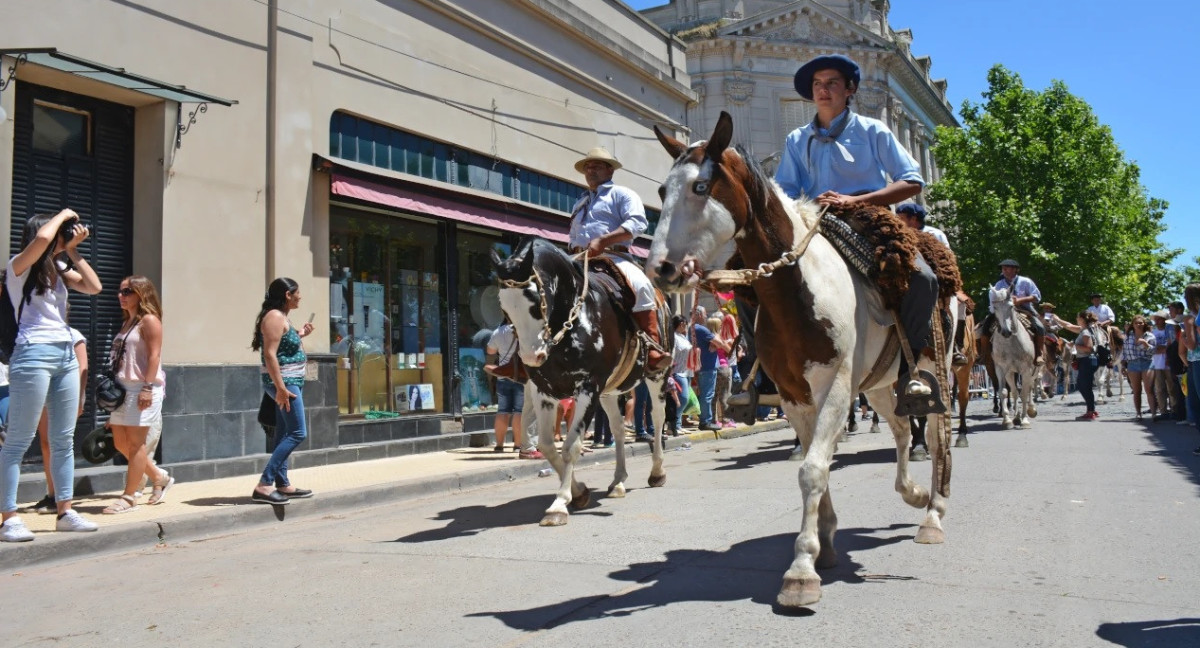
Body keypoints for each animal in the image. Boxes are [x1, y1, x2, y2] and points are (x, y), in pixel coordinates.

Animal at [492, 237, 672, 525]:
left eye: (534, 301)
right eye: (504, 306)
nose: (532, 357)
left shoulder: (588, 387)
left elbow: (571, 446)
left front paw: (559, 504)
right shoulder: (544, 391)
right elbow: (547, 445)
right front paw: (578, 492)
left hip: (657, 377)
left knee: (657, 417)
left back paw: (657, 472)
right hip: (609, 392)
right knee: (618, 428)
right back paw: (618, 481)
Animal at [988, 285, 1036, 427]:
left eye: (1011, 306)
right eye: (995, 307)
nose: (1006, 332)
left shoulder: (1026, 369)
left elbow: (1024, 392)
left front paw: (1025, 420)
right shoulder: (1000, 369)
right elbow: (1004, 392)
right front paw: (1007, 419)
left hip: (1034, 369)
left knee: (1029, 387)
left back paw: (1030, 411)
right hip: (1010, 373)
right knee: (1014, 392)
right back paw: (1016, 417)